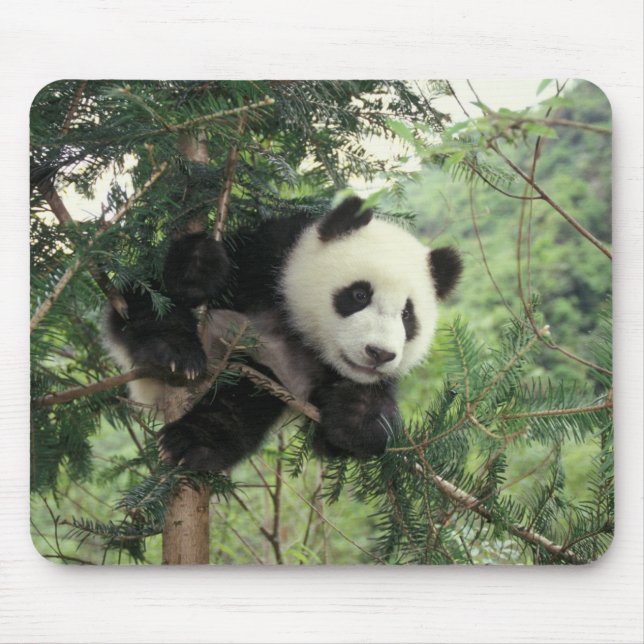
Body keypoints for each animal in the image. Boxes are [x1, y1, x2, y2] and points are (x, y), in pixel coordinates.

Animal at [106, 197, 462, 471]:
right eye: (359, 295)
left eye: (407, 316)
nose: (379, 353)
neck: (297, 330)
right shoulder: (268, 258)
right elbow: (163, 287)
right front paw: (199, 270)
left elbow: (348, 435)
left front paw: (356, 414)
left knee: (245, 398)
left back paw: (195, 443)